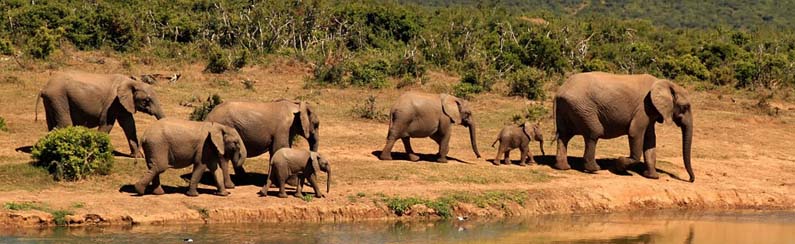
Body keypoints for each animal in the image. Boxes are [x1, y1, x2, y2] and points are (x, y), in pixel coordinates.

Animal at [37, 71, 165, 157]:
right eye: (147, 100)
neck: (132, 82)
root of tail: (44, 88)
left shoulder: (123, 104)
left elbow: (129, 125)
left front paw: (137, 157)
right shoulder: (112, 102)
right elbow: (107, 124)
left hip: (52, 101)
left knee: (53, 125)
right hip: (58, 98)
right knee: (64, 124)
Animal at [552, 71, 696, 182]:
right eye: (685, 107)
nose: (690, 179)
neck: (665, 83)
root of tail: (559, 91)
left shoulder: (650, 112)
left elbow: (650, 140)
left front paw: (652, 177)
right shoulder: (643, 108)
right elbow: (635, 133)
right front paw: (620, 166)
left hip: (569, 108)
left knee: (564, 136)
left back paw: (563, 167)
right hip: (583, 108)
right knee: (594, 133)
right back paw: (594, 169)